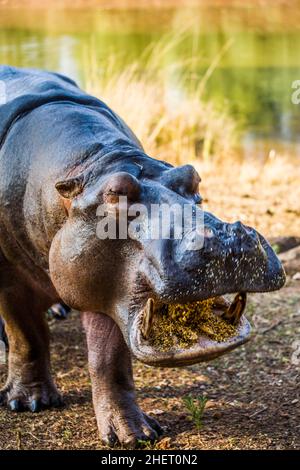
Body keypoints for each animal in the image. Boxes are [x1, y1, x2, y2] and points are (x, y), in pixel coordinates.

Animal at [0, 66, 284, 448]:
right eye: (115, 193)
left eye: (192, 176)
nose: (227, 239)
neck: (94, 162)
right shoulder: (11, 277)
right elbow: (26, 334)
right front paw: (30, 403)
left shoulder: (106, 293)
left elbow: (110, 361)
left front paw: (134, 434)